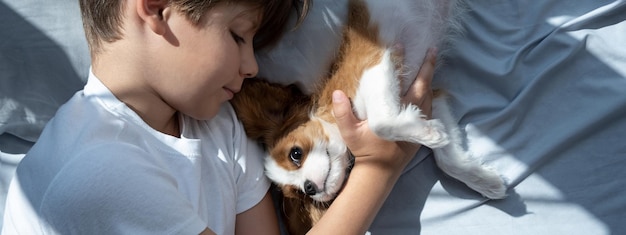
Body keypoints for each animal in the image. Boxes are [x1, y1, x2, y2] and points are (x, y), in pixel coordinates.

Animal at [232, 0, 504, 232]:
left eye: (295, 154)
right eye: (299, 193)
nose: (309, 188)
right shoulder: (431, 100)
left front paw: (428, 135)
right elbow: (447, 159)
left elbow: (380, 124)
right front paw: (484, 180)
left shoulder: (374, 64)